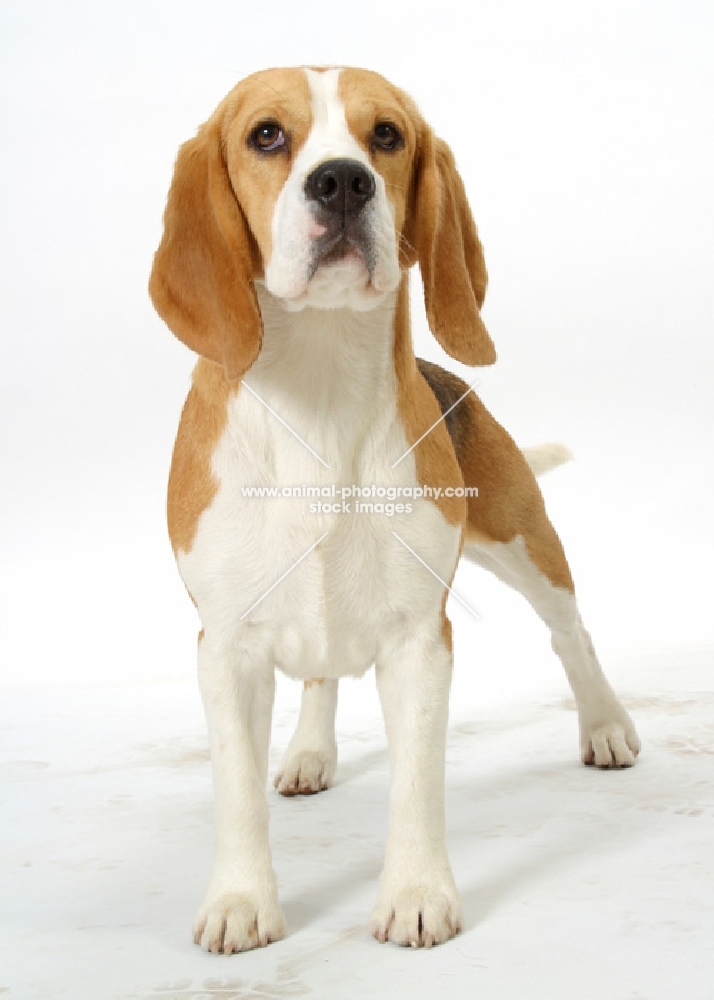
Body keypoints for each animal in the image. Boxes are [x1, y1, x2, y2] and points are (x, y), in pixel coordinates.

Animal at [150, 66, 640, 956]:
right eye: (266, 135)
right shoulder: (227, 646)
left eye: (386, 135)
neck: (318, 390)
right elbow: (236, 789)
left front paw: (415, 895)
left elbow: (417, 782)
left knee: (571, 633)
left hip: (524, 541)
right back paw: (310, 751)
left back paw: (606, 725)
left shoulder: (420, 640)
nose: (341, 181)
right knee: (319, 676)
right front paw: (241, 900)